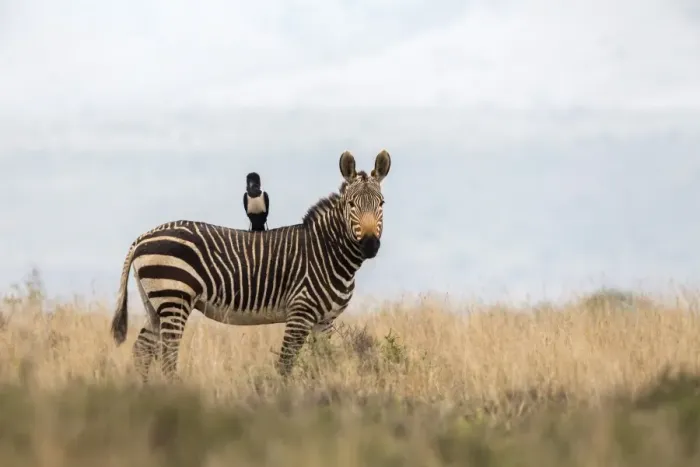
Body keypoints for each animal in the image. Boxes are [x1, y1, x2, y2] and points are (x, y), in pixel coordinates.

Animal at [110, 149, 392, 381]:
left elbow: (323, 362)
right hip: (174, 297)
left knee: (142, 349)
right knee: (167, 354)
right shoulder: (300, 312)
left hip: (155, 303)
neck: (327, 250)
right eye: (351, 204)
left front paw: (323, 390)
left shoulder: (325, 320)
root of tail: (142, 238)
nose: (370, 245)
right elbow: (286, 364)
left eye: (381, 203)